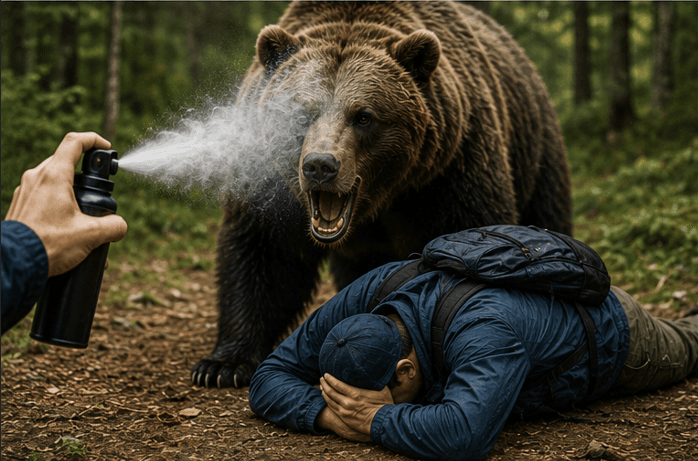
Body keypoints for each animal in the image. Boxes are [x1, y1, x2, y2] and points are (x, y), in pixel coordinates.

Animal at [191, 1, 572, 388]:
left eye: (363, 116)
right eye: (301, 114)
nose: (320, 165)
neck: (379, 200)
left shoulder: (450, 169)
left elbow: (469, 238)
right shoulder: (269, 185)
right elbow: (265, 253)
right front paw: (222, 365)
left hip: (537, 151)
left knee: (545, 218)